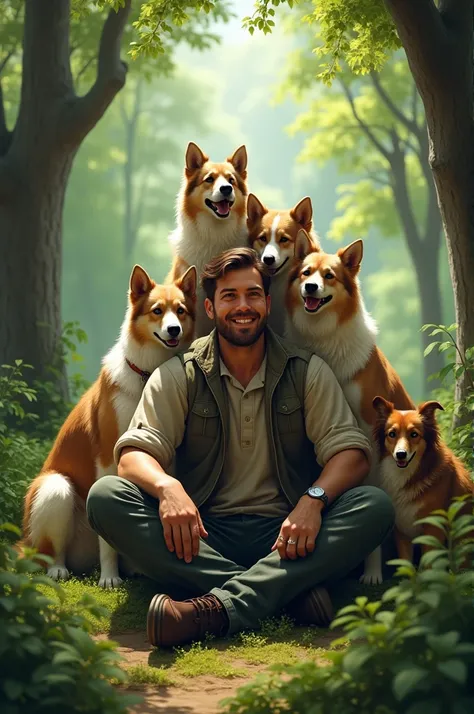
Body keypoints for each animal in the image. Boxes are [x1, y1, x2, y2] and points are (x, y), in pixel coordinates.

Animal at [21, 264, 196, 588]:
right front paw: (110, 576)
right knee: (51, 552)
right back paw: (59, 569)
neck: (147, 375)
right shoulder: (106, 458)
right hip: (56, 489)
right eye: (157, 310)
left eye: (181, 310)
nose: (174, 329)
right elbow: (109, 539)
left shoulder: (165, 458)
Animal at [286, 231, 414, 580]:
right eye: (306, 273)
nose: (310, 287)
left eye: (329, 276)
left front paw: (371, 571)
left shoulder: (369, 433)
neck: (324, 338)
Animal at [372, 394, 472, 560]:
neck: (409, 474)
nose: (400, 454)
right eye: (392, 434)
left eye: (414, 434)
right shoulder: (402, 532)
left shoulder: (433, 528)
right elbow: (405, 562)